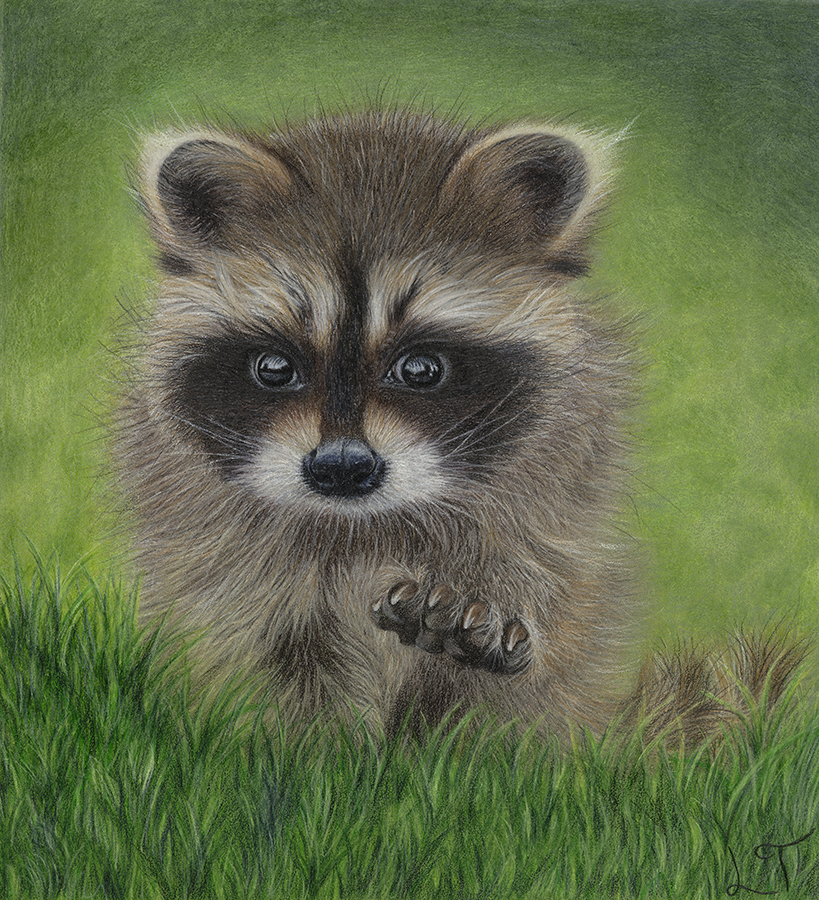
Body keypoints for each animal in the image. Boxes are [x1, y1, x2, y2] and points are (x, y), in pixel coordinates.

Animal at [118, 107, 796, 744]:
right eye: (274, 367)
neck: (360, 527)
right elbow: (254, 652)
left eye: (421, 368)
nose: (341, 467)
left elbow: (543, 589)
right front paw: (307, 753)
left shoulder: (556, 486)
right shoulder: (213, 541)